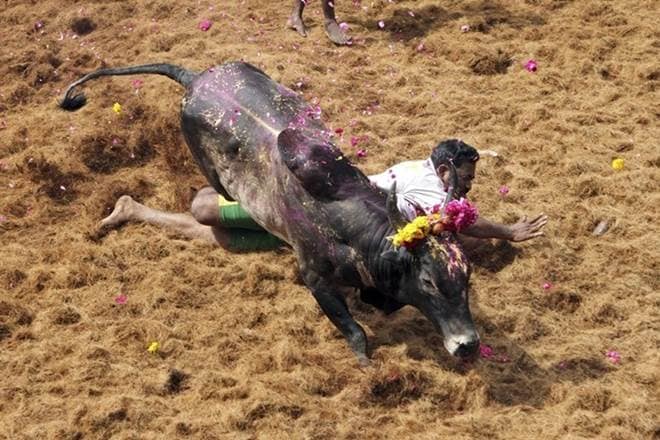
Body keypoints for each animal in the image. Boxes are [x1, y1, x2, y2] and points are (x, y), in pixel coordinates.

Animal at [60, 62, 480, 364]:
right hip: (214, 177)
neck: (350, 227)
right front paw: (366, 364)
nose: (468, 345)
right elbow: (354, 330)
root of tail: (195, 80)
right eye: (427, 281)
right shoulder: (315, 279)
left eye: (466, 278)